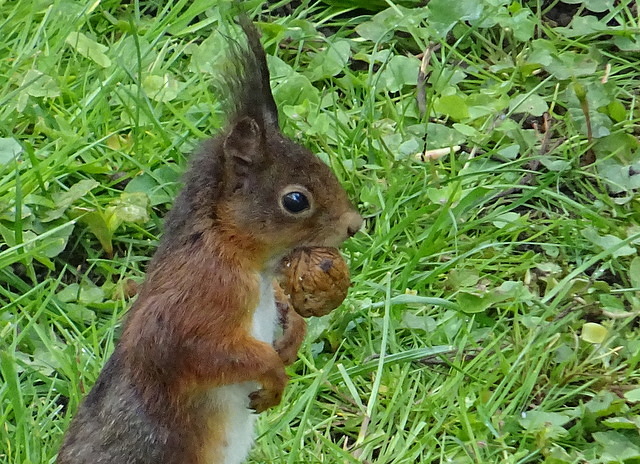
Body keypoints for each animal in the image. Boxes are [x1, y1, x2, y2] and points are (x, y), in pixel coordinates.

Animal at [57, 17, 362, 464]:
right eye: (295, 201)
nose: (354, 225)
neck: (240, 256)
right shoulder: (196, 297)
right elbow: (199, 352)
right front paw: (274, 372)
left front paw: (293, 335)